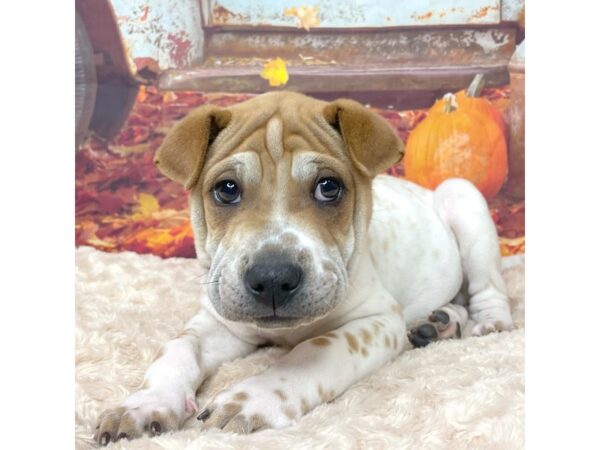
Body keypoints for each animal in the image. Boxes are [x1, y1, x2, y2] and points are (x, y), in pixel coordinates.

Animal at [92, 90, 510, 442]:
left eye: (329, 187)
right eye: (226, 190)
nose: (273, 279)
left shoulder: (375, 321)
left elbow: (314, 351)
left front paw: (252, 398)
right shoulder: (218, 323)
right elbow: (176, 349)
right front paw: (144, 404)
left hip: (463, 197)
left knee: (487, 289)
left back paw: (486, 323)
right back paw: (440, 322)